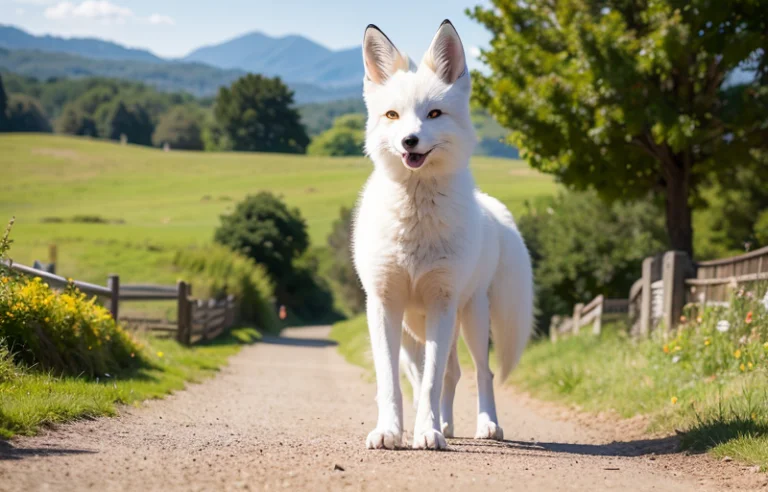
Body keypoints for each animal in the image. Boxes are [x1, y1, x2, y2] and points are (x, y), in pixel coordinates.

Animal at [352, 19, 534, 450]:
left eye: (434, 114)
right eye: (393, 115)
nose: (410, 141)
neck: (416, 221)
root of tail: (492, 207)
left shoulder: (442, 303)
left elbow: (432, 383)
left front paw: (427, 433)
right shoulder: (384, 305)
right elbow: (394, 384)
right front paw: (391, 431)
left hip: (471, 318)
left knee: (478, 373)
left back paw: (484, 425)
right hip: (415, 332)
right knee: (439, 376)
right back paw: (444, 424)